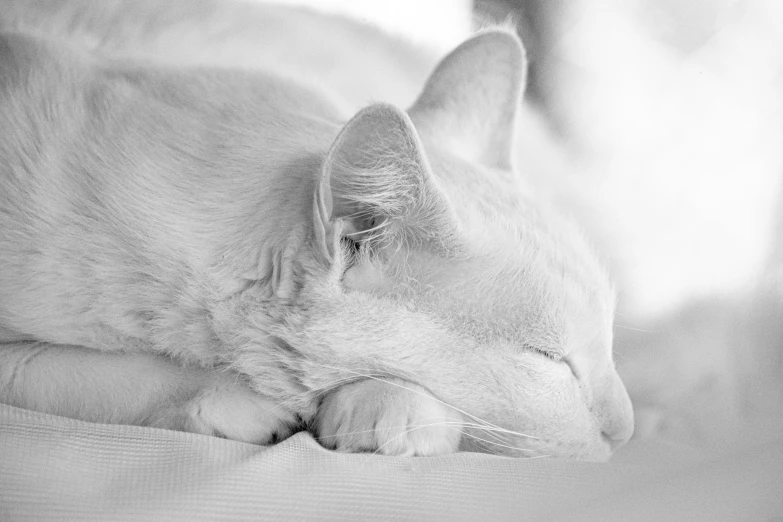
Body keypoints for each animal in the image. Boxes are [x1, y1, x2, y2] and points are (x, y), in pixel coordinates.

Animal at [0, 0, 632, 458]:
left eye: (606, 344)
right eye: (548, 359)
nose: (624, 432)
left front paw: (391, 406)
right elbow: (57, 367)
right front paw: (231, 399)